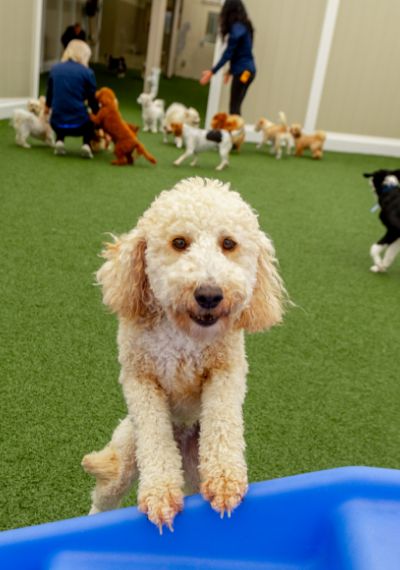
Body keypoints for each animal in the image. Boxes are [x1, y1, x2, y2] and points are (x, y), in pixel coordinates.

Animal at [82, 176, 288, 528]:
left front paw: (225, 479)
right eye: (179, 242)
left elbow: (223, 422)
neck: (183, 336)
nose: (209, 294)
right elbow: (154, 434)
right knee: (104, 496)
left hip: (193, 463)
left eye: (228, 244)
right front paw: (160, 493)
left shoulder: (226, 371)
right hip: (126, 455)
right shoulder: (140, 378)